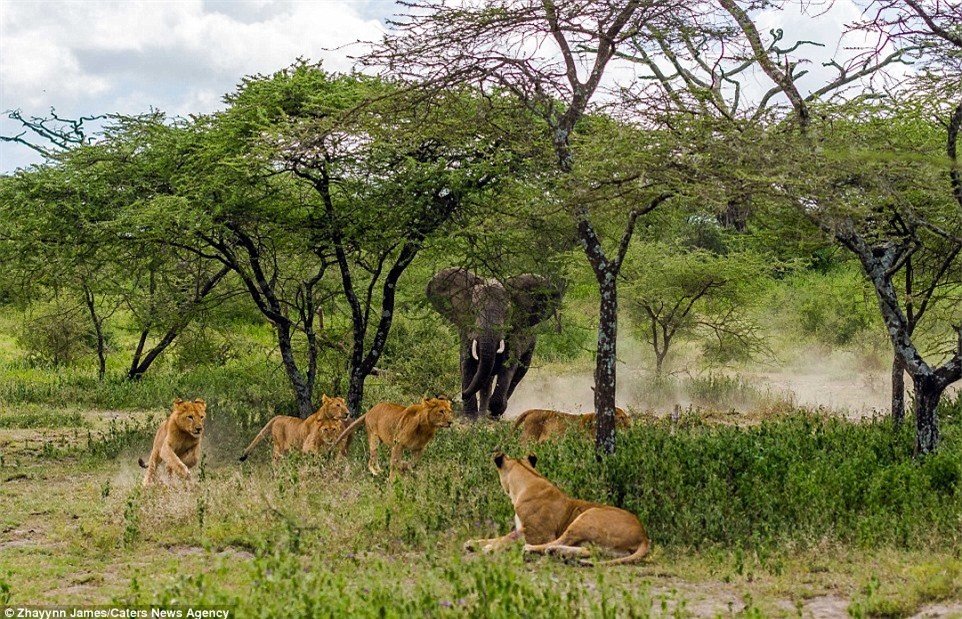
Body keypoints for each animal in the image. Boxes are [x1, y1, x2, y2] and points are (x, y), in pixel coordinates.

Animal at [426, 268, 564, 422]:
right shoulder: (467, 330)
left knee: (517, 375)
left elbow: (509, 364)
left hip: (531, 343)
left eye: (508, 312)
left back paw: (494, 414)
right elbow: (467, 363)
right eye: (473, 311)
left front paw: (493, 412)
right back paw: (482, 415)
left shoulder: (515, 333)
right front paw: (469, 418)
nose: (456, 396)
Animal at [464, 450, 648, 568]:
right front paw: (473, 543)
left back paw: (535, 549)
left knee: (556, 542)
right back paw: (558, 553)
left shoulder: (539, 533)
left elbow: (508, 537)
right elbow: (499, 536)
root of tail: (644, 536)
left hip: (587, 516)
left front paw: (489, 548)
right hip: (606, 547)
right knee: (588, 550)